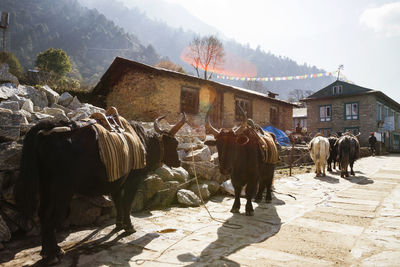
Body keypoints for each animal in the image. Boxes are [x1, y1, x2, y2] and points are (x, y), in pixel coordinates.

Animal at [14, 114, 186, 262]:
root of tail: (47, 131)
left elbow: (118, 202)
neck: (143, 142)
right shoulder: (133, 180)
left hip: (45, 187)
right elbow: (127, 203)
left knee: (42, 214)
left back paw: (45, 251)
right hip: (61, 190)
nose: (179, 162)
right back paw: (54, 253)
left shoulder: (118, 182)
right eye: (174, 144)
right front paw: (129, 227)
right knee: (51, 217)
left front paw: (119, 224)